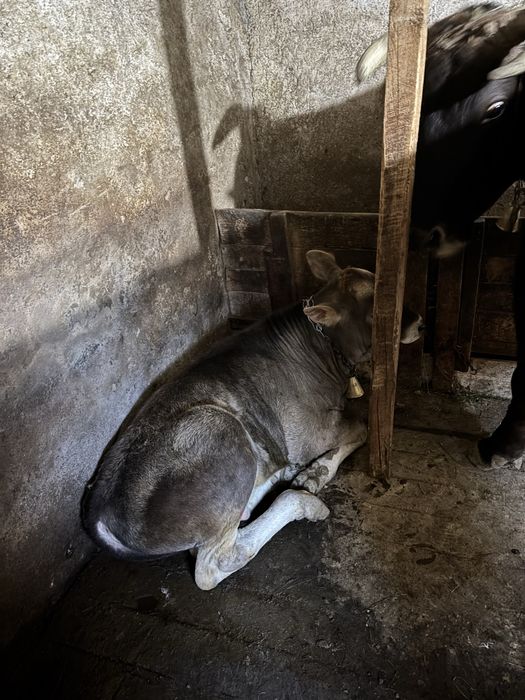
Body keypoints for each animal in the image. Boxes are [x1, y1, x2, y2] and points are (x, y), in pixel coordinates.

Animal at [82, 251, 423, 589]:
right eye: (374, 303)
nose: (419, 323)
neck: (325, 354)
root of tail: (101, 506)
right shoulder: (311, 433)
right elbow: (361, 427)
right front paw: (317, 473)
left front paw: (309, 471)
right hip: (223, 431)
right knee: (215, 563)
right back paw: (303, 501)